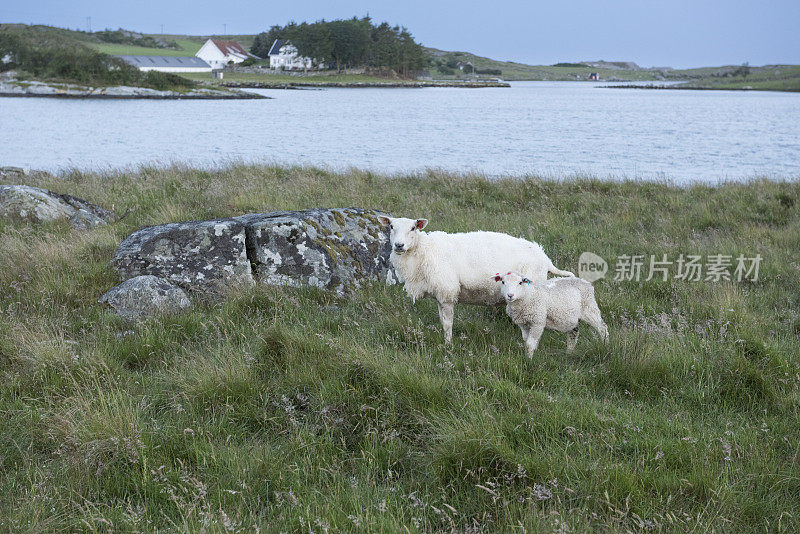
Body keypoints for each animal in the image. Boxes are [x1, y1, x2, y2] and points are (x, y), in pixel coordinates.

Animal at [376, 217, 576, 344]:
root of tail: (545, 258)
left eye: (413, 228)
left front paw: (448, 346)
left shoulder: (447, 291)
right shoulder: (440, 295)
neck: (424, 251)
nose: (399, 245)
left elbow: (447, 323)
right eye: (391, 226)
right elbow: (442, 320)